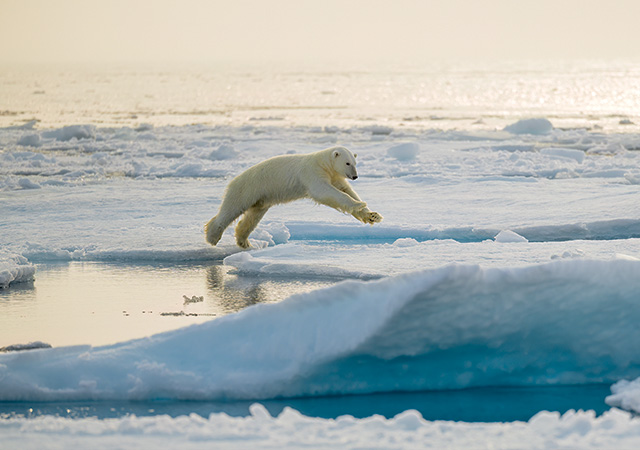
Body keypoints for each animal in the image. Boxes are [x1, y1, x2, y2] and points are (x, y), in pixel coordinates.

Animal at [205, 146, 383, 248]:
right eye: (347, 163)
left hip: (261, 199)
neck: (323, 163)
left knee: (252, 217)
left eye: (355, 163)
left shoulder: (335, 176)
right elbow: (325, 192)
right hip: (247, 189)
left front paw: (373, 215)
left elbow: (347, 190)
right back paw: (212, 236)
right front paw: (359, 204)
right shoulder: (312, 173)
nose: (355, 176)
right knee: (232, 209)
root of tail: (233, 180)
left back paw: (244, 242)